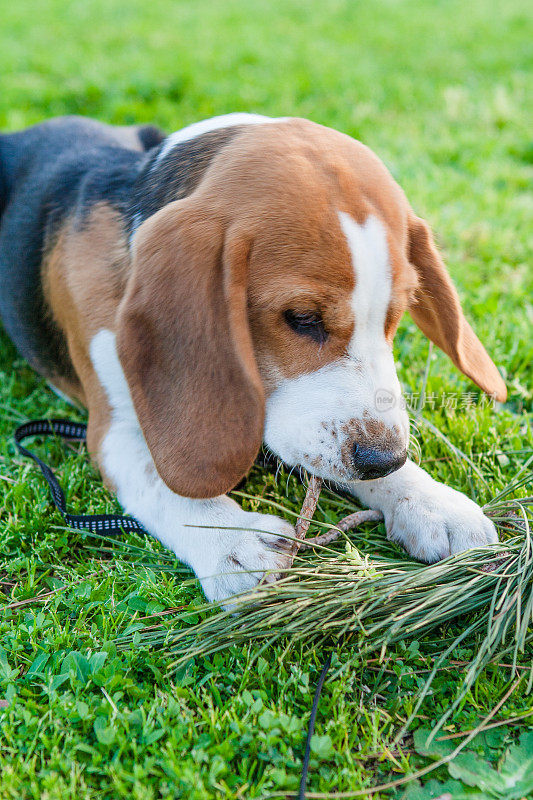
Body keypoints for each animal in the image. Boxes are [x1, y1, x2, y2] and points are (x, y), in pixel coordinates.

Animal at [0, 111, 504, 600]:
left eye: (395, 314)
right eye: (301, 317)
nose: (384, 460)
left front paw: (427, 499)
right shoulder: (114, 429)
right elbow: (163, 483)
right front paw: (234, 541)